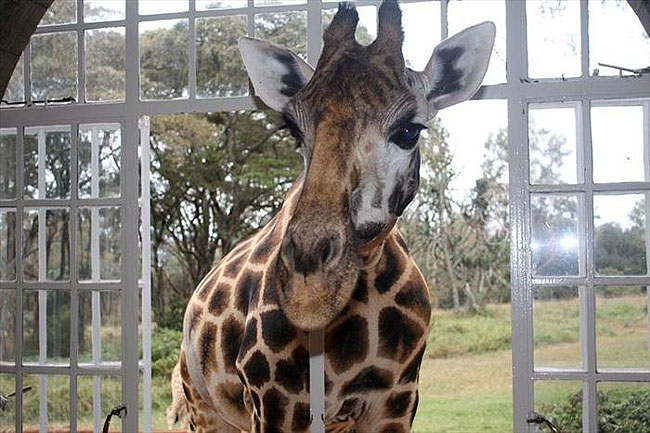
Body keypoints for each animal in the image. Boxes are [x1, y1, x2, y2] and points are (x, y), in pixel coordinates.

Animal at [173, 2, 495, 432]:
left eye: (409, 130)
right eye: (294, 131)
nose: (311, 290)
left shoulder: (397, 398)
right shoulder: (275, 399)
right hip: (203, 407)